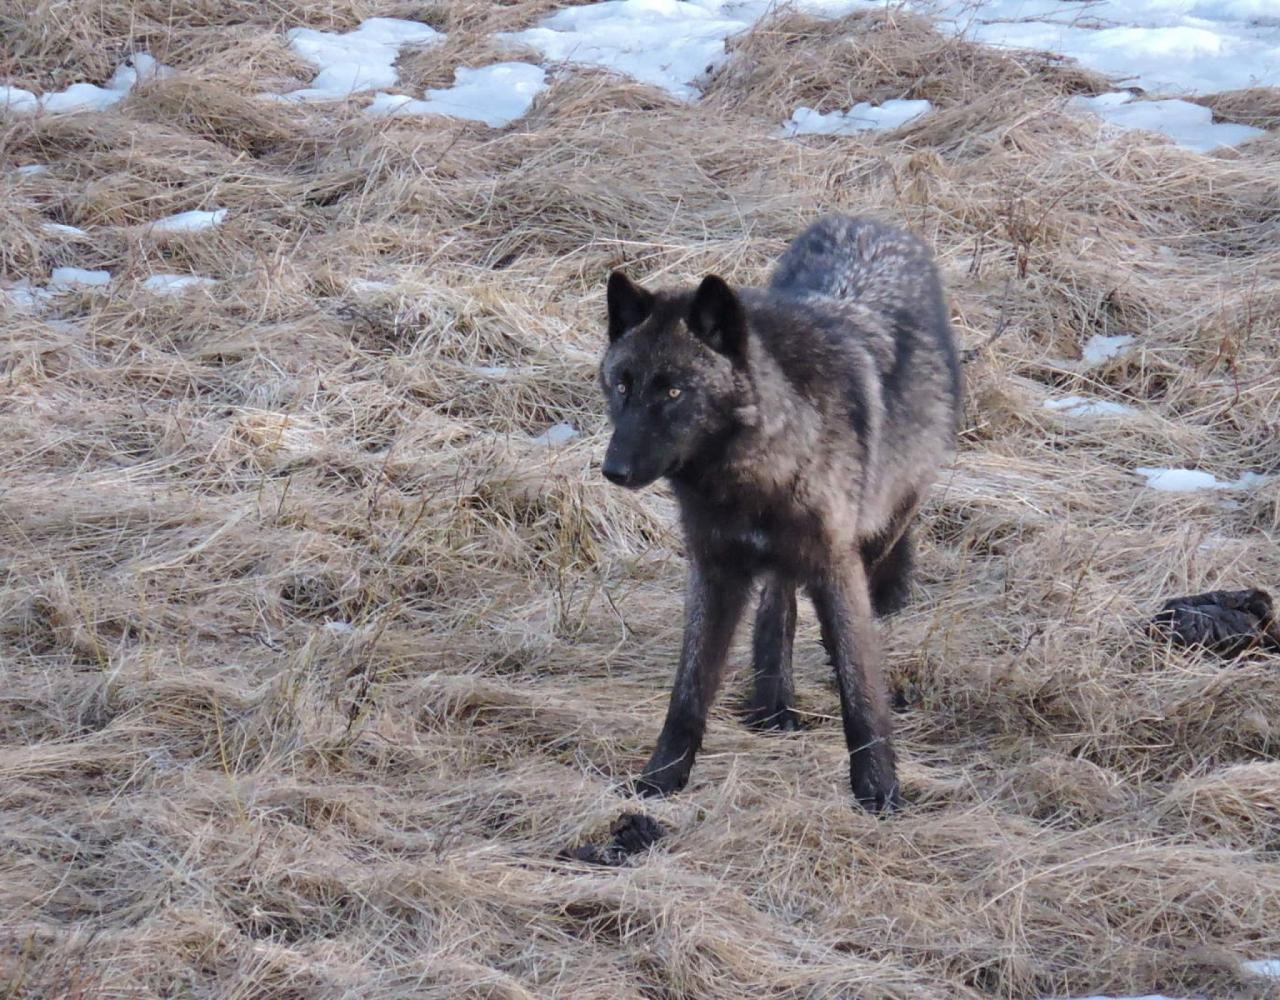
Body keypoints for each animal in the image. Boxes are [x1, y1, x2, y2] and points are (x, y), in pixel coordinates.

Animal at [599, 215, 962, 809]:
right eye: (622, 385)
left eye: (673, 391)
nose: (615, 470)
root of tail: (867, 222)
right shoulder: (714, 570)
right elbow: (688, 694)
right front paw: (660, 781)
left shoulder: (837, 565)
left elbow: (860, 691)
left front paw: (879, 793)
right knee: (778, 606)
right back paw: (773, 704)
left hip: (882, 525)